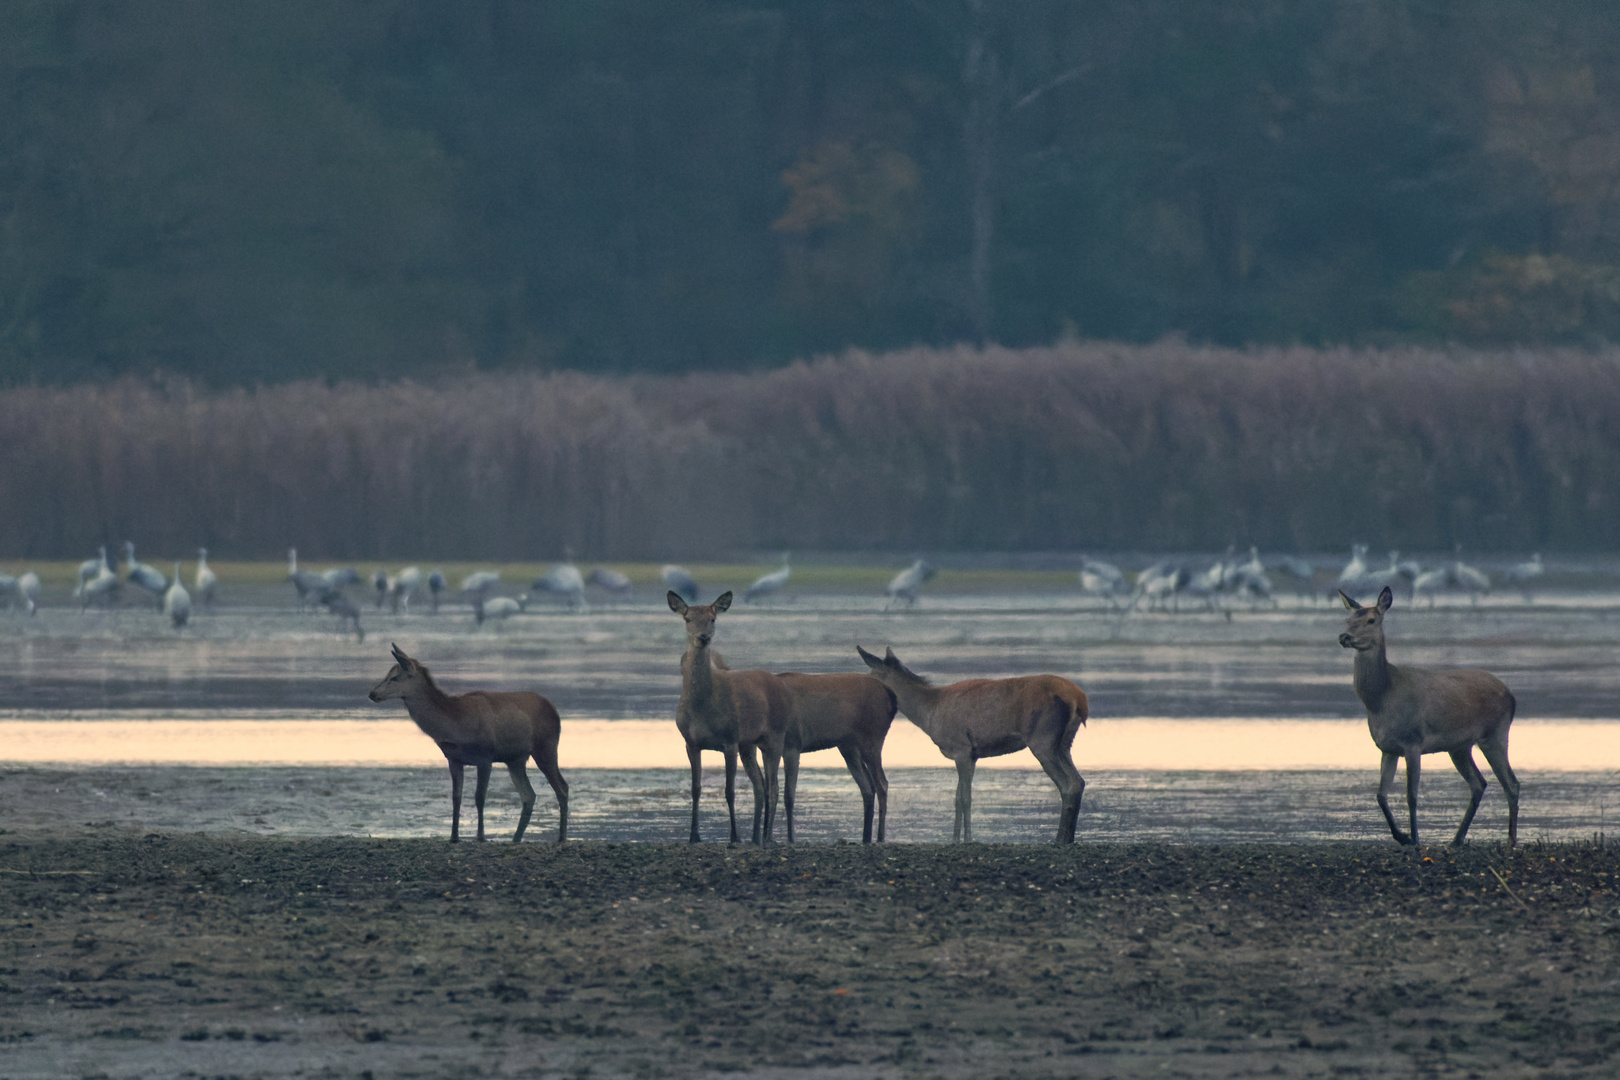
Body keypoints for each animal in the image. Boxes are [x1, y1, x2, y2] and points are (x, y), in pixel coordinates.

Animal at [367, 641, 570, 841]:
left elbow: (479, 797)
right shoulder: (453, 759)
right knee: (529, 795)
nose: (372, 694)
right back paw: (516, 838)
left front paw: (480, 836)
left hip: (546, 746)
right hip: (515, 759)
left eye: (395, 677)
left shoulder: (486, 756)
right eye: (387, 674)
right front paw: (454, 837)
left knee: (562, 787)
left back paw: (561, 837)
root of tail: (554, 710)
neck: (457, 725)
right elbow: (456, 797)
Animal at [667, 592, 793, 841]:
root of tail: (781, 685)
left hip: (776, 735)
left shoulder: (730, 739)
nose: (703, 637)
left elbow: (729, 791)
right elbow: (695, 789)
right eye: (687, 618)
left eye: (713, 618)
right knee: (760, 786)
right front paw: (694, 836)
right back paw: (755, 837)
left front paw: (734, 838)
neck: (702, 709)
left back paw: (767, 838)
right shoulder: (690, 742)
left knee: (773, 787)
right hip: (750, 744)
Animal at [848, 647, 1088, 841]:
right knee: (1079, 781)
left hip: (1042, 740)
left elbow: (965, 797)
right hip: (1064, 743)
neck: (929, 713)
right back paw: (1068, 838)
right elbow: (957, 797)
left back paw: (1059, 838)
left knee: (1068, 784)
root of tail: (1079, 700)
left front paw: (968, 838)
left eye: (871, 676)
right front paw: (954, 839)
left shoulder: (961, 748)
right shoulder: (971, 754)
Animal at [1341, 586, 1516, 848]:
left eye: (1371, 620)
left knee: (1511, 784)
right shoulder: (1387, 748)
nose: (1344, 637)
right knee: (1479, 783)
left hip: (1495, 734)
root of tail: (1512, 696)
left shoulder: (1412, 742)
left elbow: (1411, 795)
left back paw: (1511, 840)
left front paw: (1414, 838)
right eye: (1348, 619)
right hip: (1459, 746)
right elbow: (1380, 795)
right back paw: (1456, 839)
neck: (1382, 698)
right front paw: (1402, 837)